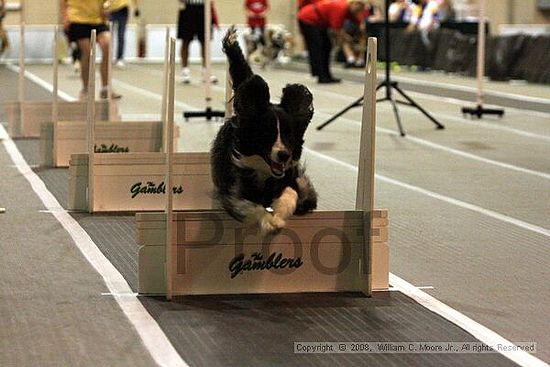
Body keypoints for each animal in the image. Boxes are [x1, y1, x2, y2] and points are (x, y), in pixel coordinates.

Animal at [213, 28, 322, 236]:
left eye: (289, 136)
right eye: (266, 134)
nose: (284, 155)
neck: (265, 172)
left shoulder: (291, 179)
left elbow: (290, 194)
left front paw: (278, 216)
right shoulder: (235, 188)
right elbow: (250, 205)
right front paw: (269, 221)